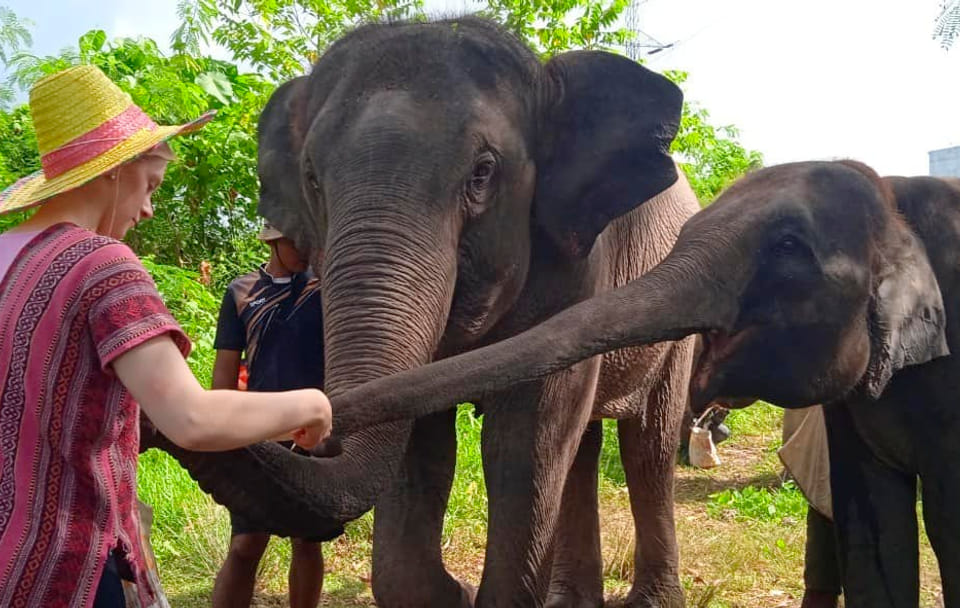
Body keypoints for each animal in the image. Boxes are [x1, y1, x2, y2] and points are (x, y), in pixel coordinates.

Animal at [144, 15, 706, 608]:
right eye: (313, 179)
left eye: (483, 172)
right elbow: (424, 446)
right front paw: (451, 595)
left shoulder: (578, 268)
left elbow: (525, 440)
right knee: (584, 447)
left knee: (647, 447)